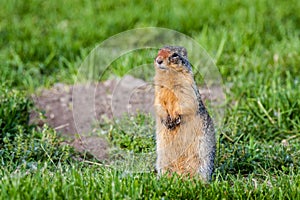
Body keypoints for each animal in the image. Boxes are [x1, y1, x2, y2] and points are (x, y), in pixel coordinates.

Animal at [154, 45, 214, 181]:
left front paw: (175, 118)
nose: (158, 60)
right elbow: (159, 104)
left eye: (175, 55)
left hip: (201, 161)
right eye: (159, 51)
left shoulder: (186, 88)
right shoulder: (158, 90)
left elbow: (185, 102)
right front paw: (167, 120)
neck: (169, 77)